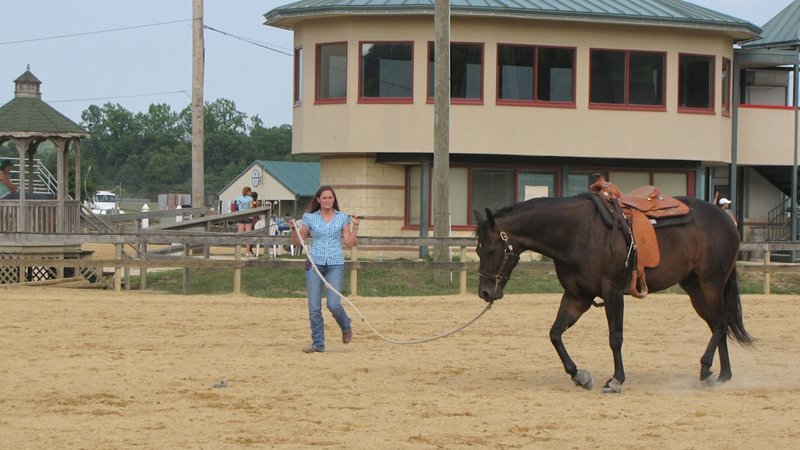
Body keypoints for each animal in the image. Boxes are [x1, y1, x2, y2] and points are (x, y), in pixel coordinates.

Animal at [474, 193, 752, 394]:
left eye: (491, 250)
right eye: (477, 250)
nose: (485, 292)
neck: (577, 232)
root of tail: (725, 220)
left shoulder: (613, 292)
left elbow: (615, 338)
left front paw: (616, 380)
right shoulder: (577, 297)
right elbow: (555, 334)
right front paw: (579, 375)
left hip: (711, 282)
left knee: (720, 324)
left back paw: (706, 370)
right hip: (694, 287)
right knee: (718, 324)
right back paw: (723, 375)